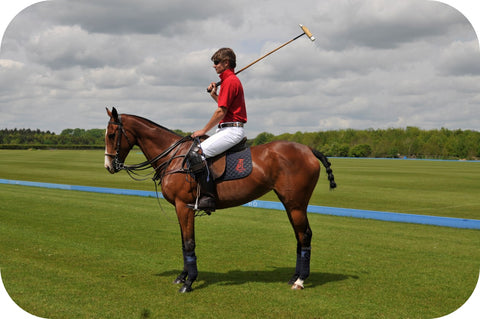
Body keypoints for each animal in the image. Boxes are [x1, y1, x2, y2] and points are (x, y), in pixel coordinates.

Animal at [103, 108, 336, 296]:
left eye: (112, 134)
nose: (109, 166)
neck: (173, 157)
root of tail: (309, 150)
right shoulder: (182, 207)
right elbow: (183, 242)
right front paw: (182, 276)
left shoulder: (183, 205)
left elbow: (189, 242)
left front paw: (189, 282)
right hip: (289, 202)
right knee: (299, 236)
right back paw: (294, 277)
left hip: (296, 203)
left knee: (305, 235)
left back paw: (300, 280)